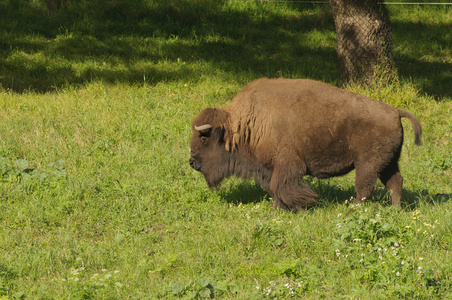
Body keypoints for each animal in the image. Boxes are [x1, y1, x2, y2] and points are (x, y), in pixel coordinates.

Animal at [189, 78, 422, 212]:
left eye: (204, 138)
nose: (192, 162)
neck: (244, 125)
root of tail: (395, 111)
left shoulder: (286, 166)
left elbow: (280, 187)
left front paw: (284, 209)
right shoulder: (270, 168)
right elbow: (274, 187)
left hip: (367, 164)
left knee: (365, 187)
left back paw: (353, 211)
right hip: (388, 163)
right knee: (395, 182)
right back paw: (394, 210)